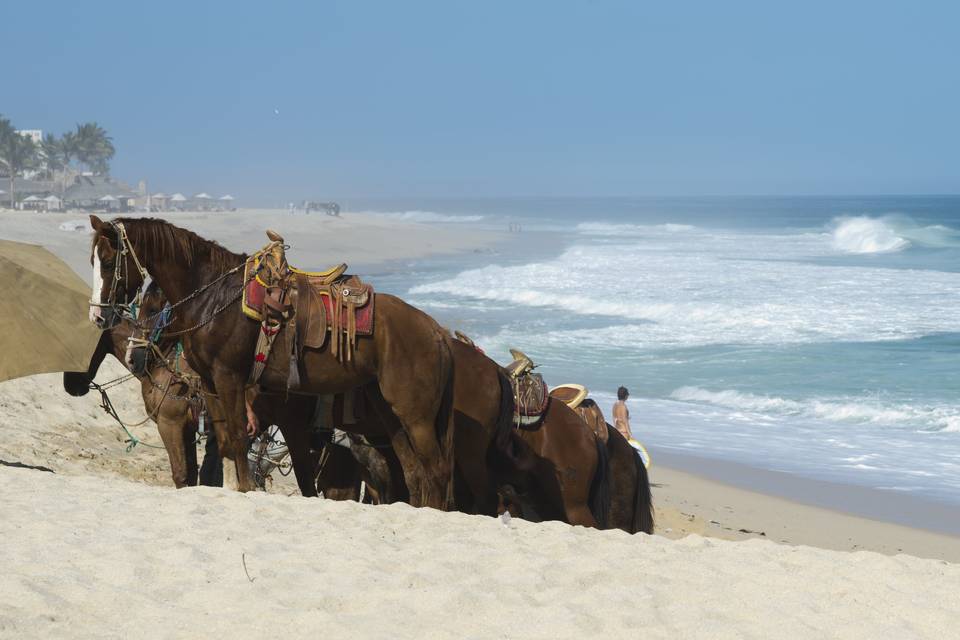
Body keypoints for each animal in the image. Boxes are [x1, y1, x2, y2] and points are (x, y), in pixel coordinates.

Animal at [85, 218, 454, 508]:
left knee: (436, 469)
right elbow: (226, 443)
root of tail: (437, 331)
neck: (214, 296)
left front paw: (246, 489)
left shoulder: (229, 378)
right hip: (390, 411)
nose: (97, 316)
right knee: (413, 470)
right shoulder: (211, 384)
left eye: (108, 261)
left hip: (415, 415)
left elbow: (236, 438)